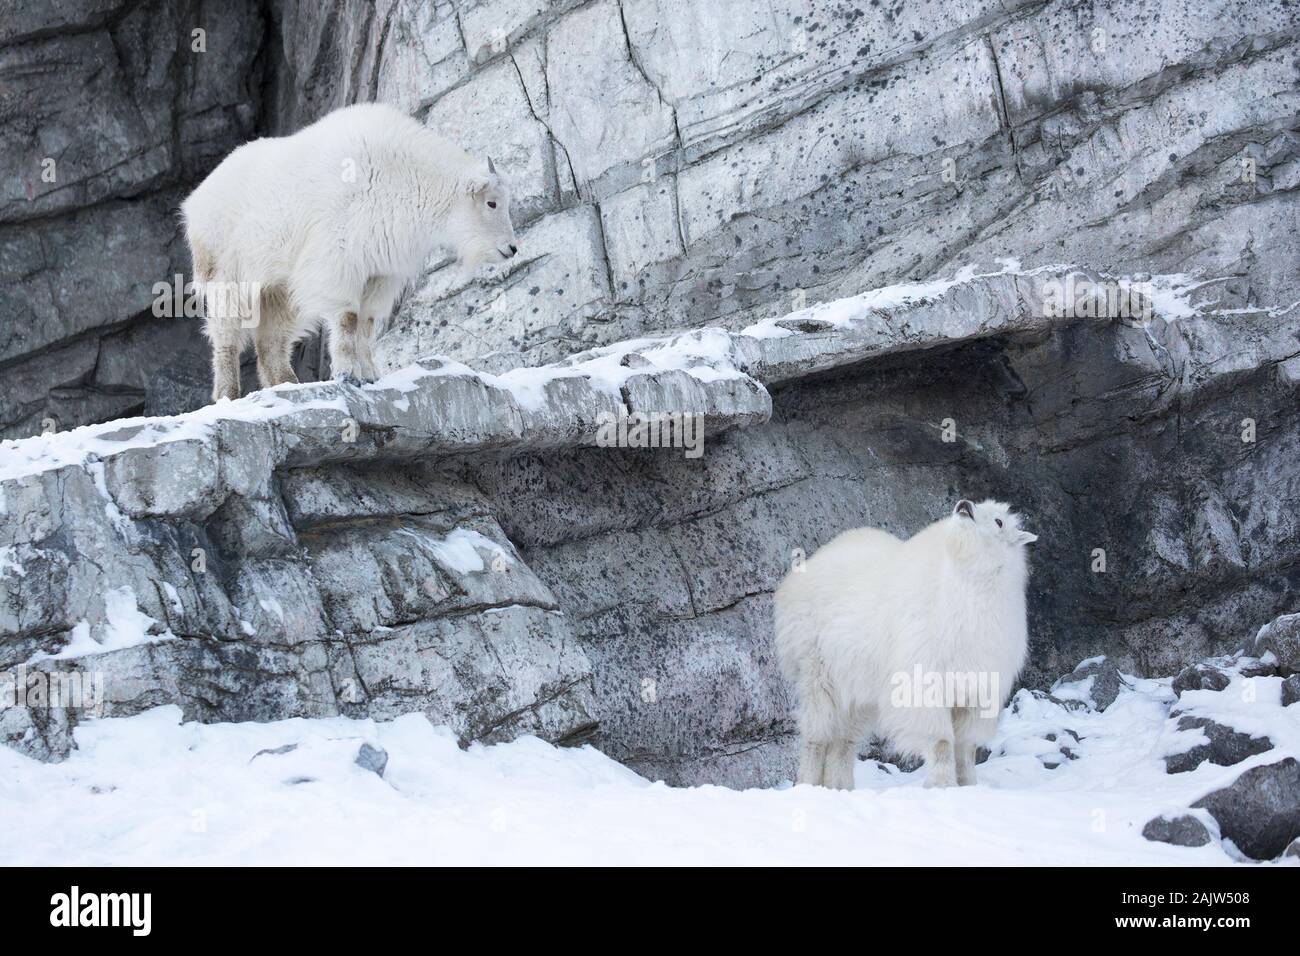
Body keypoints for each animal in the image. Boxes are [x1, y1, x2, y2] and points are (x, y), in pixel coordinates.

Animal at [183, 102, 517, 403]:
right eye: (491, 203)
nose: (511, 248)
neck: (405, 178)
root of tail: (195, 201)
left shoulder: (380, 272)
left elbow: (367, 324)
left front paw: (370, 375)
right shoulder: (339, 259)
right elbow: (347, 318)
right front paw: (347, 374)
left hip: (279, 288)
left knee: (271, 341)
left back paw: (288, 384)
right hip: (227, 275)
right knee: (226, 336)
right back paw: (227, 394)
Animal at [769, 496, 1034, 790]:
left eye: (999, 521)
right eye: (979, 504)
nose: (964, 504)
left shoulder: (977, 686)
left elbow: (966, 745)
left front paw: (969, 785)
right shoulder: (923, 676)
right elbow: (941, 740)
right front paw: (942, 785)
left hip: (859, 684)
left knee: (845, 738)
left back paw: (840, 787)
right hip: (816, 663)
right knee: (817, 730)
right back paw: (809, 784)